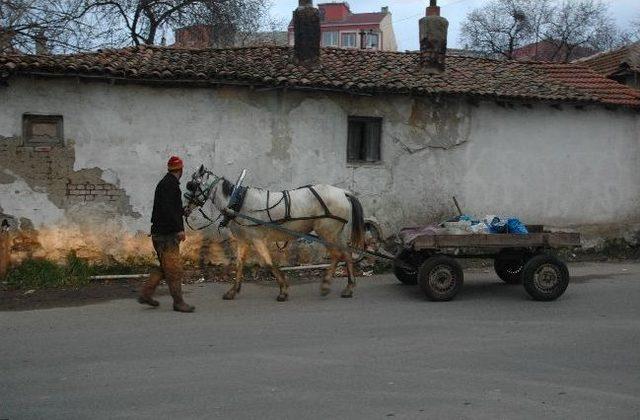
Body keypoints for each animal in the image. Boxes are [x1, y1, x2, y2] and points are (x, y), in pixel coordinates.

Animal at [185, 165, 364, 302]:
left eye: (191, 185)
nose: (185, 209)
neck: (237, 202)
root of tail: (342, 192)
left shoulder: (257, 239)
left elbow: (268, 263)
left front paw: (283, 290)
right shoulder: (243, 240)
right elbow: (239, 264)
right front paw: (232, 291)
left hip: (326, 232)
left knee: (337, 255)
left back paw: (326, 284)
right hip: (336, 233)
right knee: (347, 254)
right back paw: (349, 287)